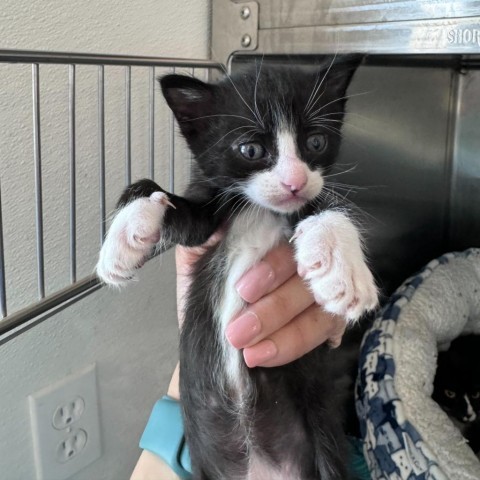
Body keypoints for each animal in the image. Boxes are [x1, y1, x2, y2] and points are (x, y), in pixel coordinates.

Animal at [96, 60, 378, 480]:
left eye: (315, 143)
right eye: (251, 149)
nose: (295, 183)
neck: (256, 208)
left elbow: (327, 201)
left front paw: (341, 266)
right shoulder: (206, 216)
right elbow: (169, 203)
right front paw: (123, 238)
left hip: (324, 439)